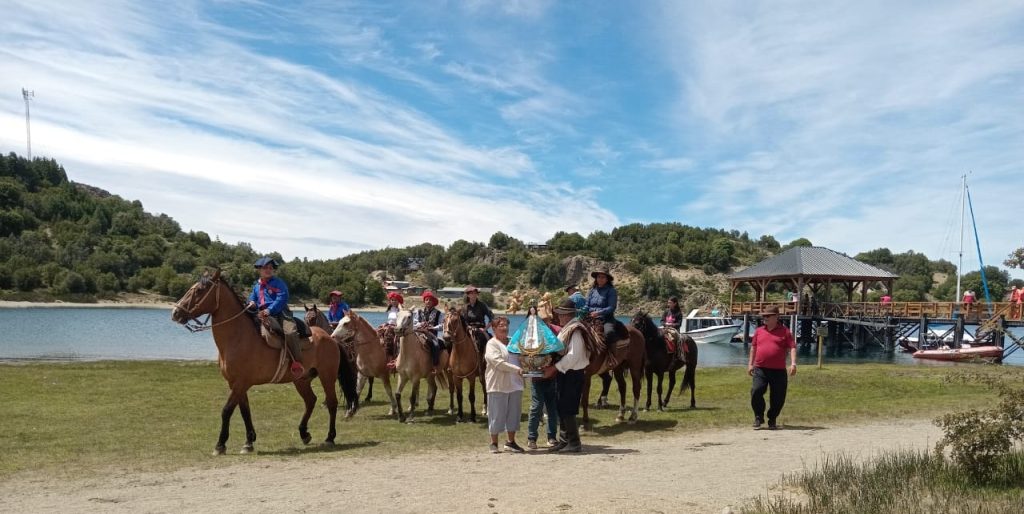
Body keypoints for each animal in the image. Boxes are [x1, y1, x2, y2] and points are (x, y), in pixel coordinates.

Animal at [170, 270, 348, 454]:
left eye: (199, 290)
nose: (175, 313)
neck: (238, 337)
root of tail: (330, 337)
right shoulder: (236, 384)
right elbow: (244, 411)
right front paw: (248, 442)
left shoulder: (240, 383)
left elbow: (227, 411)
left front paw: (220, 445)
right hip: (301, 380)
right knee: (311, 400)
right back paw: (304, 433)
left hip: (327, 376)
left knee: (332, 402)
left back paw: (330, 437)